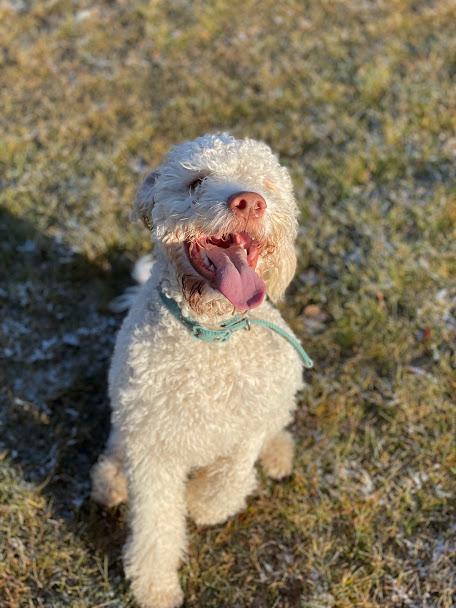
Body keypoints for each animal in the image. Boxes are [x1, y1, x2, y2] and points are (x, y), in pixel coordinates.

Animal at [91, 133, 310, 608]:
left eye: (267, 183)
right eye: (196, 182)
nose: (250, 202)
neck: (210, 338)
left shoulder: (247, 423)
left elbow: (229, 483)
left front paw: (199, 502)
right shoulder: (152, 446)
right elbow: (155, 523)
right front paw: (155, 587)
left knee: (276, 424)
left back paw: (277, 453)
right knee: (116, 445)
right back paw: (110, 480)